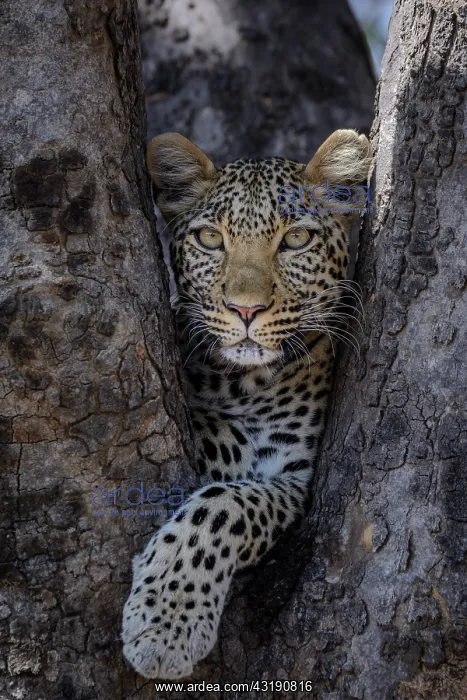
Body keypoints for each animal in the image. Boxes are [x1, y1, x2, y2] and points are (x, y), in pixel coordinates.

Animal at [121, 129, 371, 679]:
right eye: (210, 239)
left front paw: (166, 625)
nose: (246, 310)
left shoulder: (296, 481)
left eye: (296, 240)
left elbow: (223, 506)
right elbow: (214, 432)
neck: (242, 383)